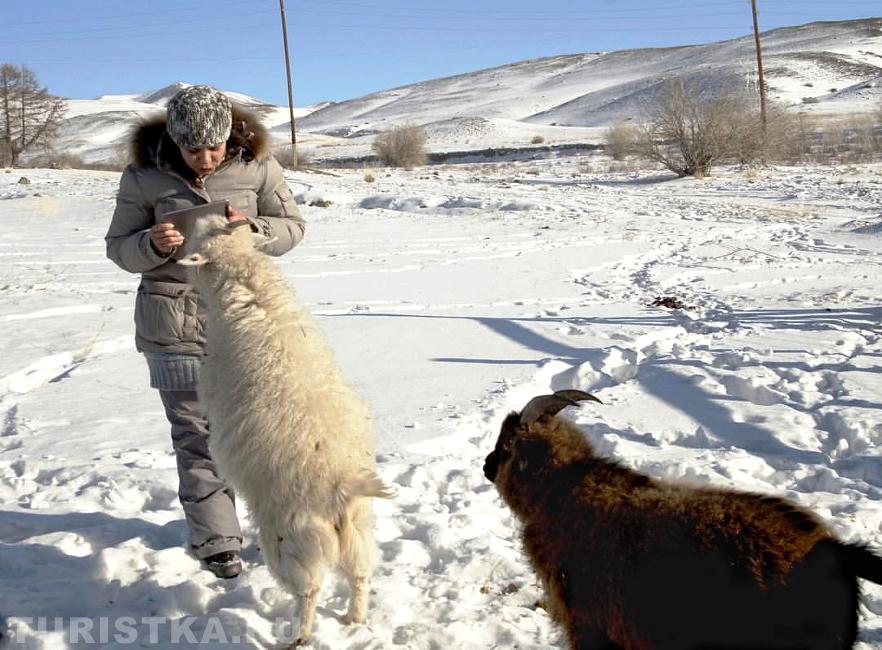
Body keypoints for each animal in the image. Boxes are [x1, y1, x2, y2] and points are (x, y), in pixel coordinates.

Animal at [179, 215, 392, 640]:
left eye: (202, 239)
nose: (202, 216)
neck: (251, 295)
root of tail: (342, 485)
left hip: (294, 541)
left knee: (308, 592)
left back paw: (297, 636)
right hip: (358, 531)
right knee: (360, 577)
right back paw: (354, 620)